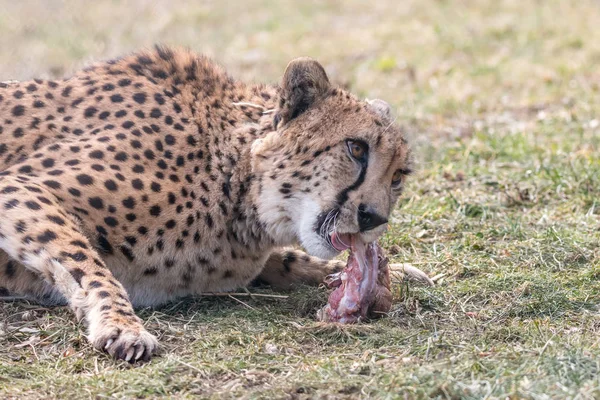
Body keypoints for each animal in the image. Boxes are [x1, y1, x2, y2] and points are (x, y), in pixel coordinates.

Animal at [0, 47, 412, 362]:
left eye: (398, 177)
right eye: (355, 148)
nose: (374, 217)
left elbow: (289, 259)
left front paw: (393, 272)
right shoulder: (17, 185)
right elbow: (84, 260)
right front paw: (121, 324)